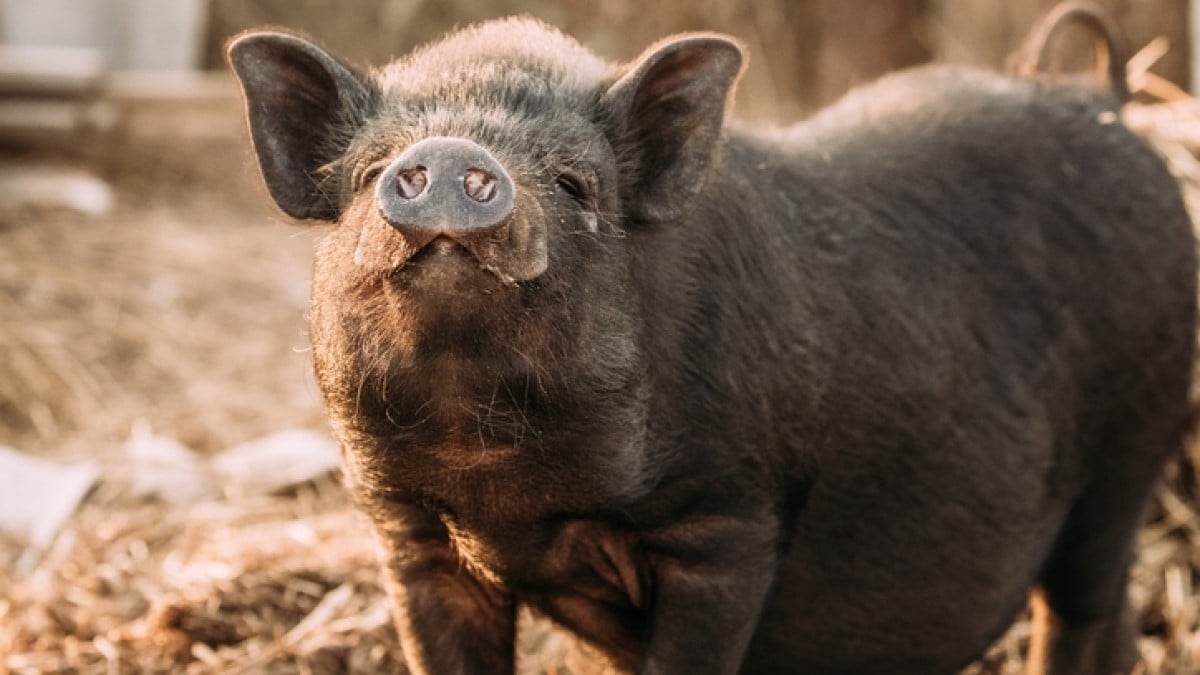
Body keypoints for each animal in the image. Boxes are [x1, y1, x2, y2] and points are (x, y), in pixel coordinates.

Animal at [229, 5, 1195, 672]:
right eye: (365, 174)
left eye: (576, 184)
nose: (450, 156)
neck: (505, 493)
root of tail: (1102, 100)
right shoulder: (411, 534)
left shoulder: (729, 522)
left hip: (1131, 444)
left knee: (1079, 609)